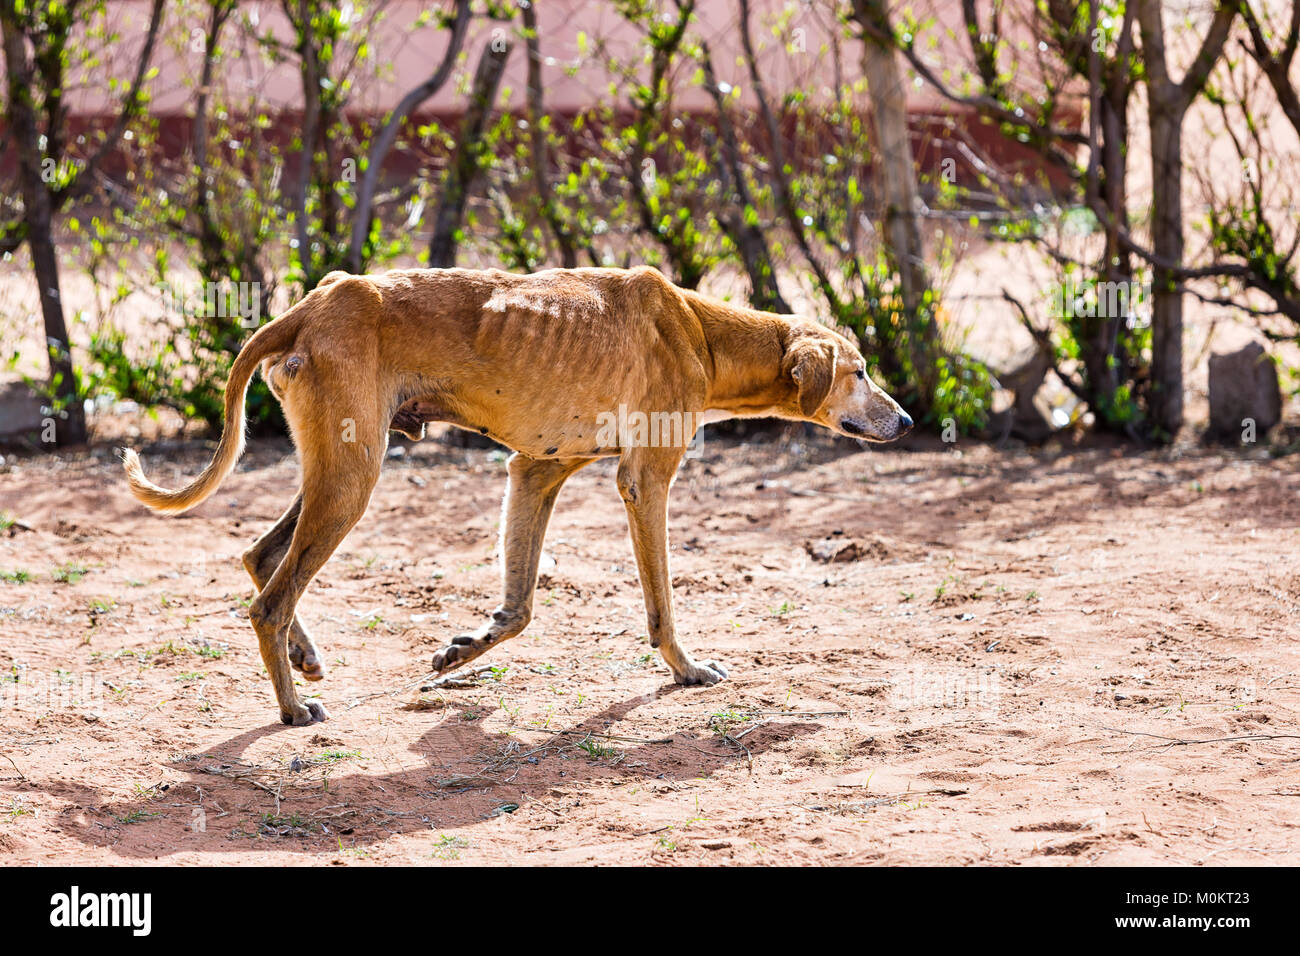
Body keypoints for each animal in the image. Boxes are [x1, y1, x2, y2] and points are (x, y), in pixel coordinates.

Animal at [124, 264, 915, 723]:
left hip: (339, 470)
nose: (908, 422)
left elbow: (520, 606)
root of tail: (313, 304)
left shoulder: (536, 473)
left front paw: (465, 648)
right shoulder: (644, 482)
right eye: (860, 371)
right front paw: (687, 671)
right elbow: (661, 605)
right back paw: (293, 707)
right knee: (269, 600)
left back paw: (304, 656)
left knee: (261, 558)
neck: (699, 330)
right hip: (352, 479)